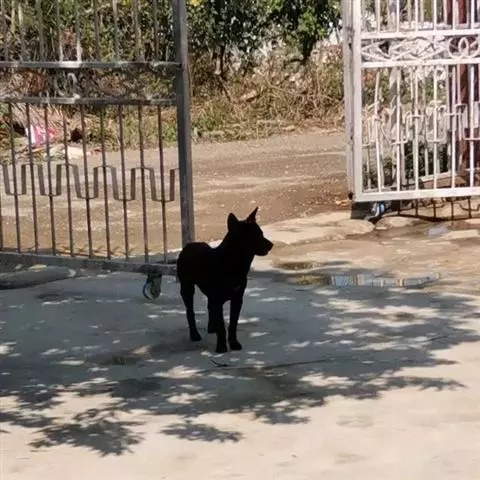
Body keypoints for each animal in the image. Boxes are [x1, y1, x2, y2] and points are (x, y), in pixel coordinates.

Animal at [176, 207, 273, 353]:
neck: (232, 262)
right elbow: (222, 325)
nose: (271, 245)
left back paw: (211, 328)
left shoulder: (237, 299)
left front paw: (234, 343)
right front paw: (221, 346)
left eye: (261, 233)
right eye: (254, 236)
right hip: (187, 288)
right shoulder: (217, 298)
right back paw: (195, 334)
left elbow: (233, 324)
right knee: (190, 312)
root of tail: (187, 246)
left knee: (210, 307)